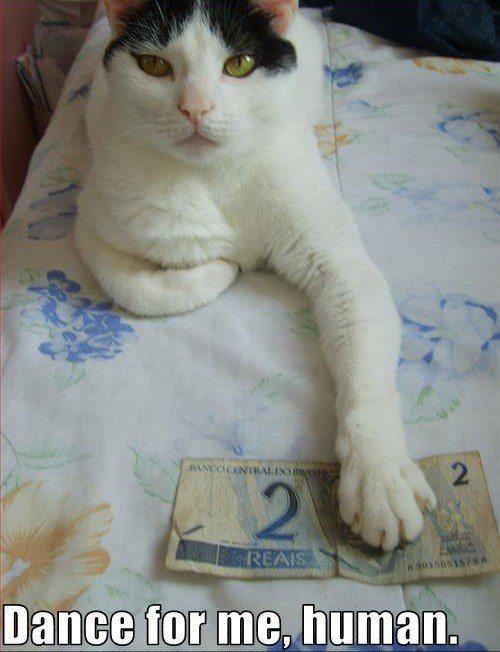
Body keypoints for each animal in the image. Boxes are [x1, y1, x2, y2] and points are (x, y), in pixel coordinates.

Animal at [76, 0, 436, 551]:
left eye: (240, 64)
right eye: (154, 65)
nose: (195, 108)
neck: (214, 176)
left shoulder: (340, 263)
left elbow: (366, 371)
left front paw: (378, 476)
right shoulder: (92, 221)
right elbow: (135, 288)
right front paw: (221, 267)